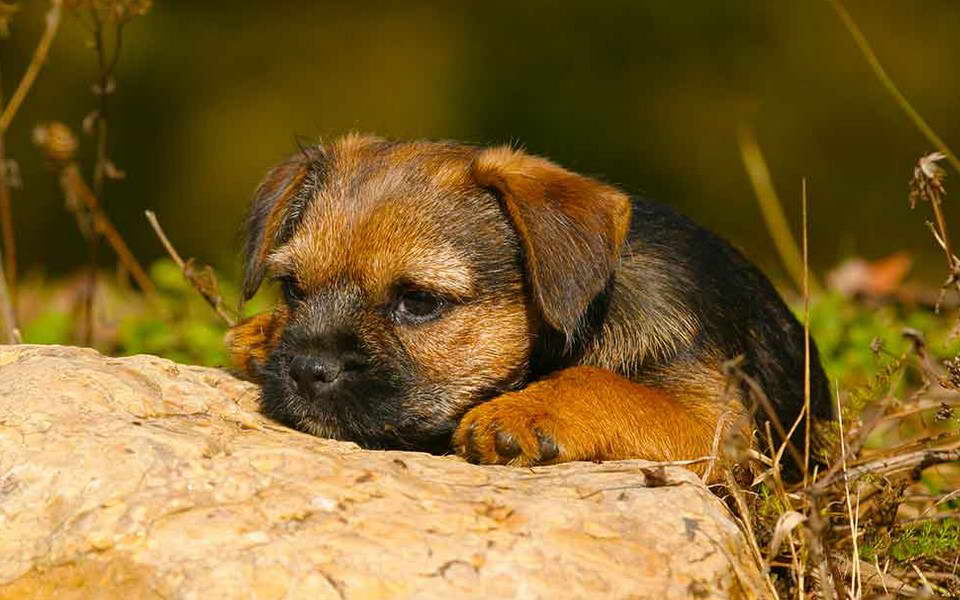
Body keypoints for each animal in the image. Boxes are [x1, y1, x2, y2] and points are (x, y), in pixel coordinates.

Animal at [227, 135, 832, 478]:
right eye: (292, 288)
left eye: (418, 301)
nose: (307, 369)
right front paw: (262, 332)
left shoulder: (722, 430)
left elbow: (599, 382)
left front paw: (520, 411)